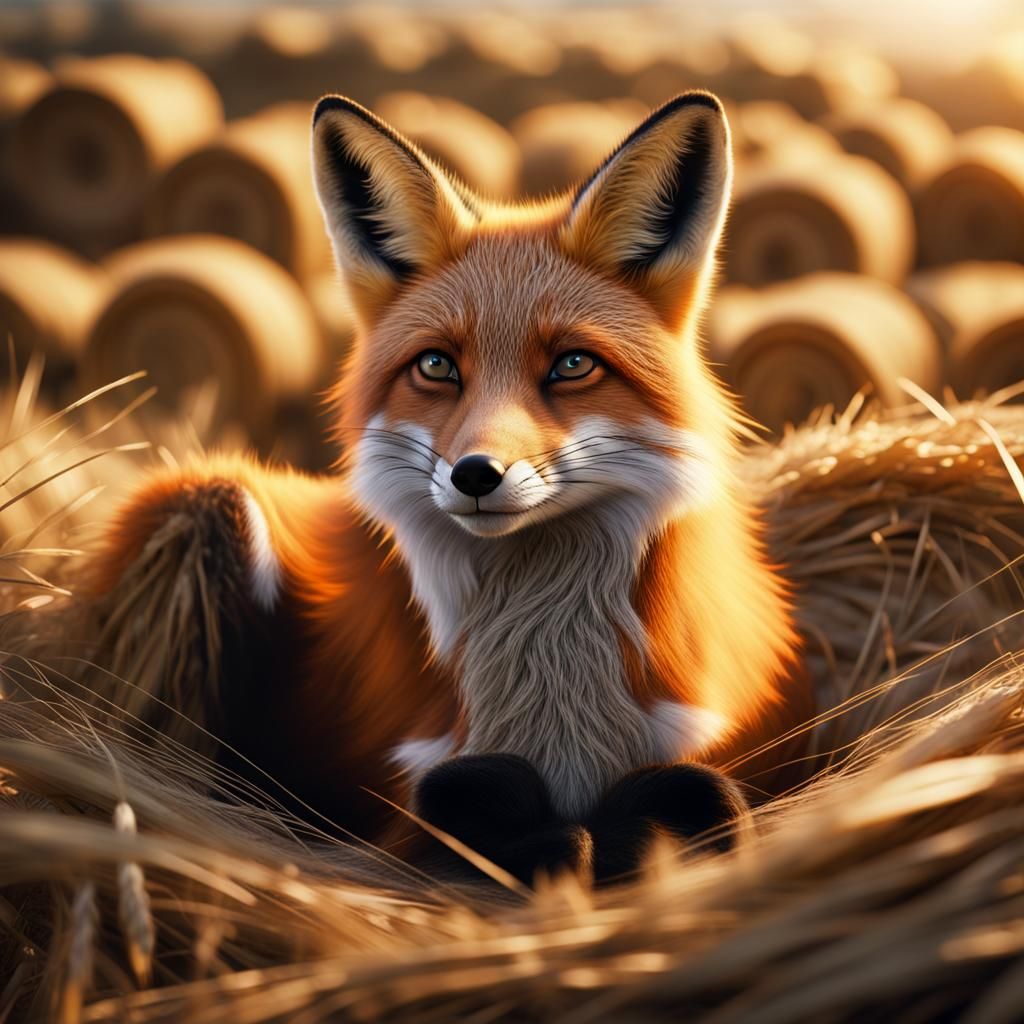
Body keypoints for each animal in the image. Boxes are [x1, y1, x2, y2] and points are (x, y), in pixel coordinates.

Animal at [89, 91, 808, 882]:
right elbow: (463, 803)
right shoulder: (394, 806)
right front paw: (551, 839)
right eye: (436, 366)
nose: (475, 474)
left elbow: (700, 793)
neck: (551, 688)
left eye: (572, 364)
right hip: (209, 507)